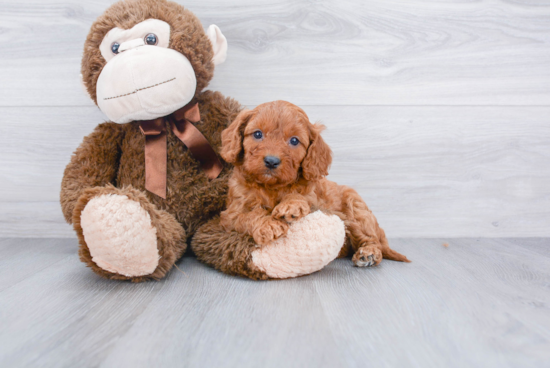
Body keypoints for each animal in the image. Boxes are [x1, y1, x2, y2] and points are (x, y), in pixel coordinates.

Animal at [220, 100, 410, 266]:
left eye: (294, 140)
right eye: (258, 134)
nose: (271, 161)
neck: (271, 186)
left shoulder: (317, 201)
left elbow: (301, 197)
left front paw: (291, 205)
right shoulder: (230, 215)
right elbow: (247, 216)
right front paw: (268, 224)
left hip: (357, 209)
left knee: (371, 239)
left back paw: (369, 253)